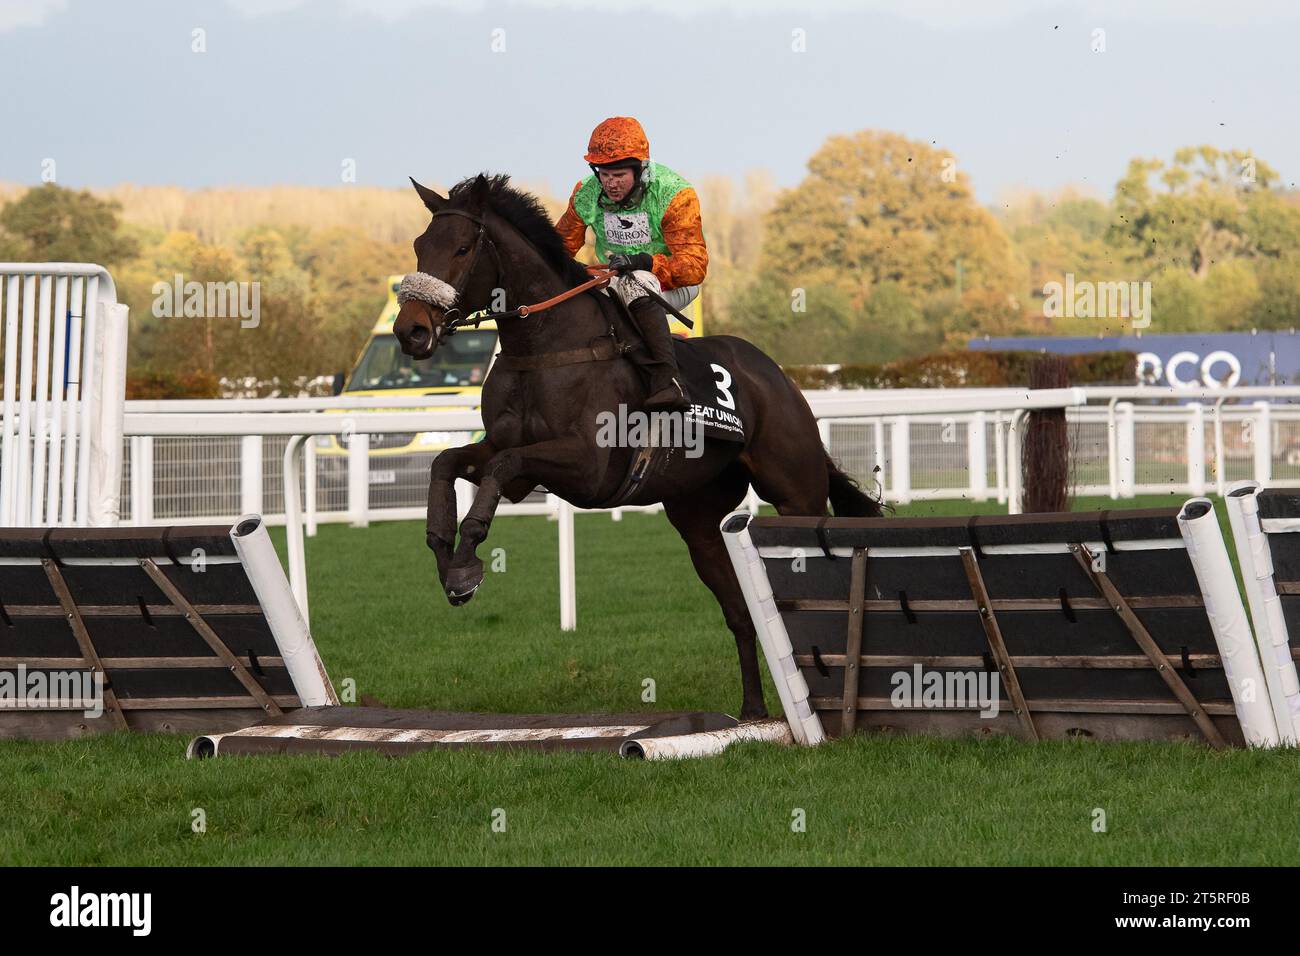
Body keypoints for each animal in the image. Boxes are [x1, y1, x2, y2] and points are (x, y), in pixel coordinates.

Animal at [392, 175, 883, 723]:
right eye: (419, 246)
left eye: (461, 248)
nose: (410, 330)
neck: (545, 349)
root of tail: (780, 379)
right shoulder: (511, 458)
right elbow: (449, 463)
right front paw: (445, 552)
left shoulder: (588, 468)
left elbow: (503, 464)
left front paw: (467, 564)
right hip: (699, 523)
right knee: (739, 613)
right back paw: (753, 709)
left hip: (797, 496)